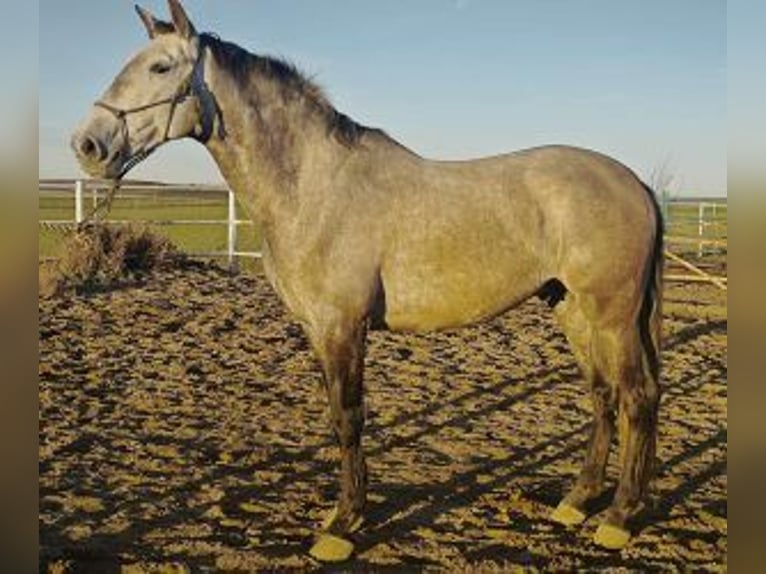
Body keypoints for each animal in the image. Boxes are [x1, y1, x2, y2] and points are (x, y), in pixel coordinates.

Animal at [72, 0, 664, 560]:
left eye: (160, 66)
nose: (88, 145)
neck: (312, 186)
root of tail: (634, 181)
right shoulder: (317, 329)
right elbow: (339, 416)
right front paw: (344, 515)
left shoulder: (343, 326)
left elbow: (350, 417)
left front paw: (343, 526)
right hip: (572, 309)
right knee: (603, 396)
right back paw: (578, 501)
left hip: (611, 316)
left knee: (637, 397)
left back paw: (617, 518)